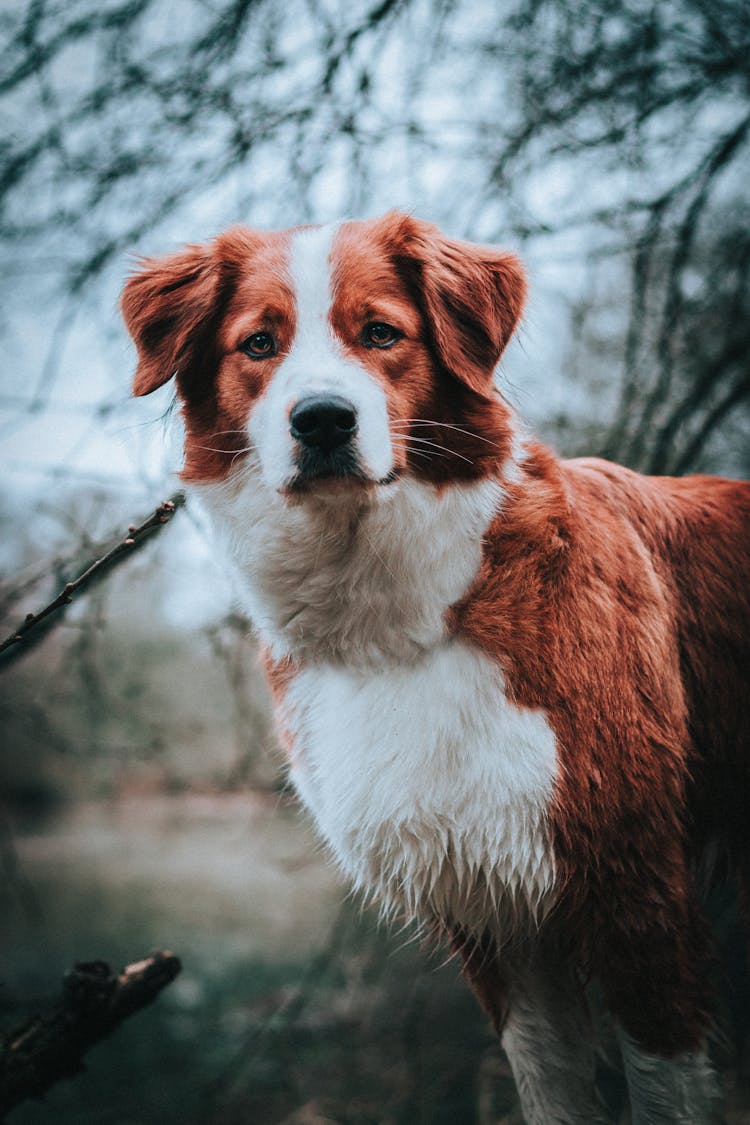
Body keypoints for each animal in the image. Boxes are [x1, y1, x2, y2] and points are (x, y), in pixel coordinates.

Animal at [123, 212, 750, 1125]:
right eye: (259, 343)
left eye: (382, 333)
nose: (321, 421)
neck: (400, 619)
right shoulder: (498, 919)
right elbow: (554, 1092)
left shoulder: (640, 900)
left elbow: (669, 1097)